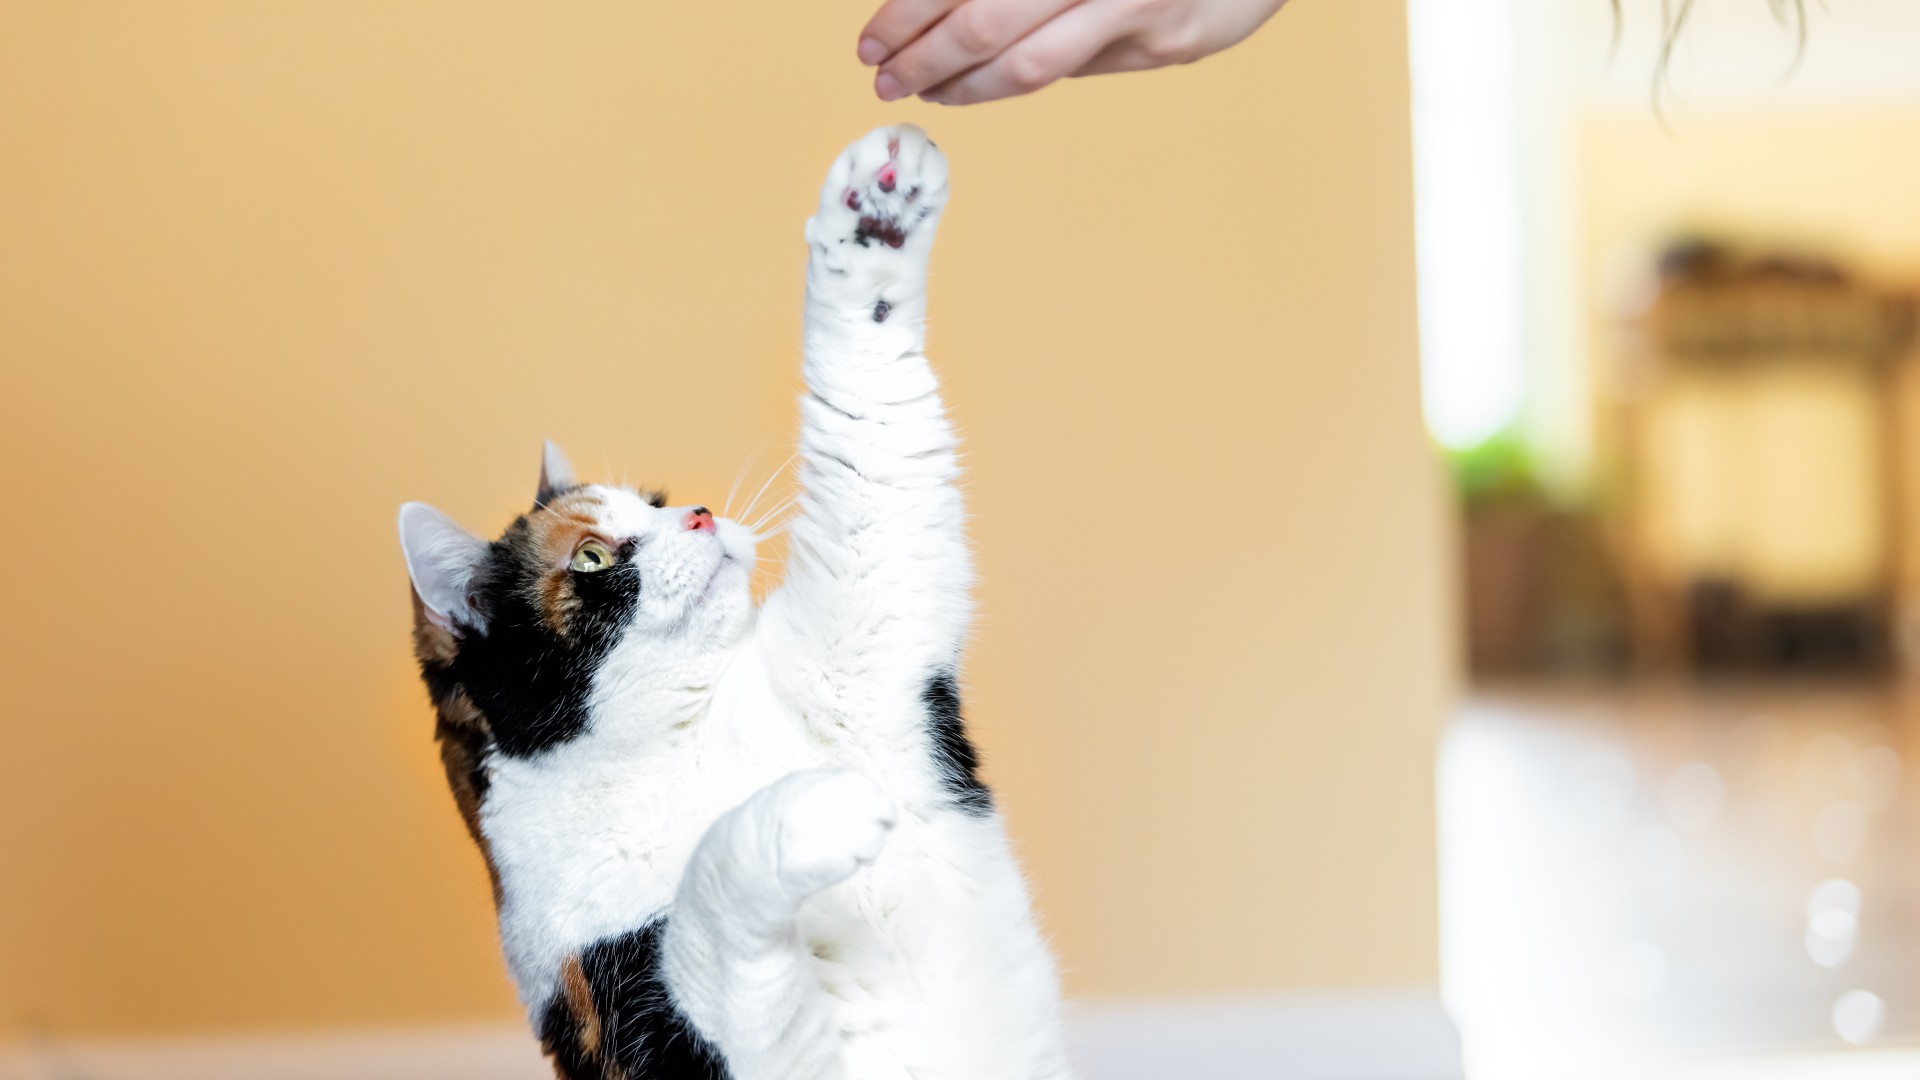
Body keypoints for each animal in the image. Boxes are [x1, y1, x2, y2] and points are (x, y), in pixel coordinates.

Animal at [397, 122, 1075, 1068]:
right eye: (594, 557)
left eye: (652, 501)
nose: (698, 514)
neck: (683, 738)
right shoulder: (639, 1011)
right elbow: (704, 905)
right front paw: (818, 810)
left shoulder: (862, 639)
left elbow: (871, 421)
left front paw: (879, 210)